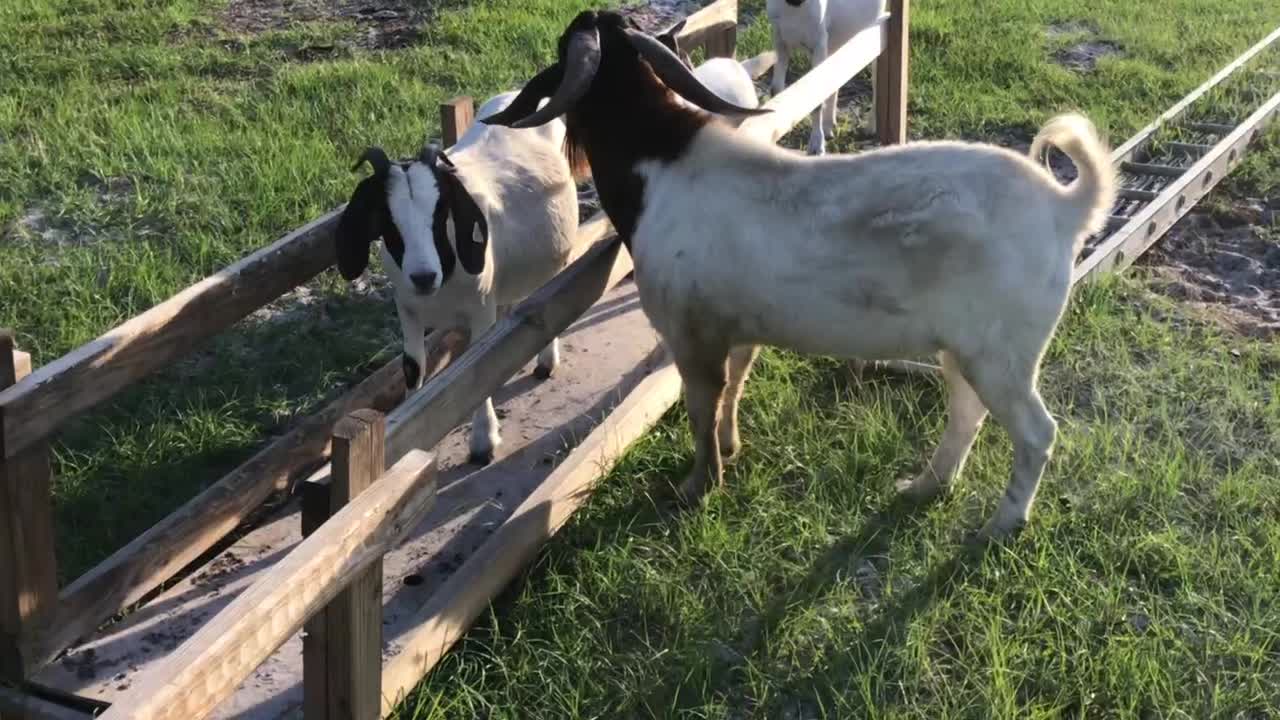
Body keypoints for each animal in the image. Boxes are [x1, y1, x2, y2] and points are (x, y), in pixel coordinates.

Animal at [340, 88, 581, 466]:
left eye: (441, 211)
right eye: (387, 219)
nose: (423, 276)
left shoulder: (480, 308)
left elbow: (478, 368)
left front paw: (483, 442)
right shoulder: (407, 309)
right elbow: (413, 368)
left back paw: (546, 361)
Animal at [762, 0, 885, 154]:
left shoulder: (818, 43)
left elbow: (817, 96)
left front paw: (816, 144)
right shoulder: (780, 40)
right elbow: (776, 90)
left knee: (876, 82)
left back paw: (870, 127)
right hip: (835, 41)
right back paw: (828, 127)